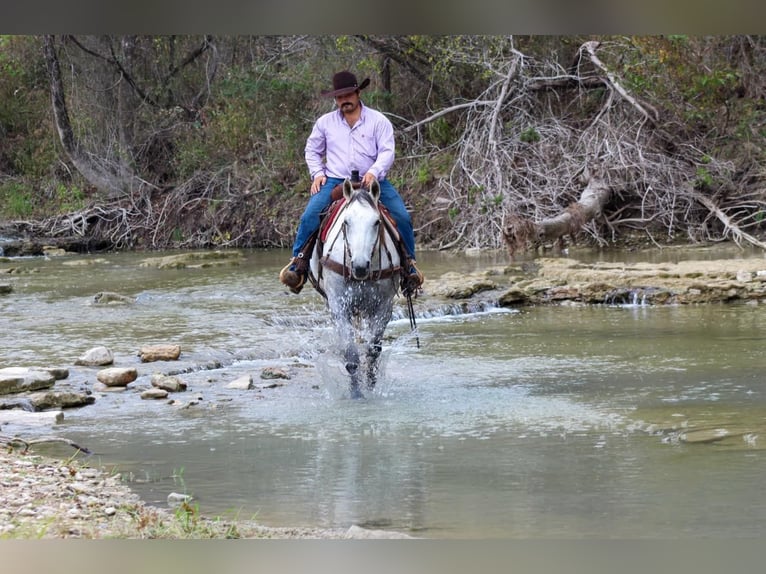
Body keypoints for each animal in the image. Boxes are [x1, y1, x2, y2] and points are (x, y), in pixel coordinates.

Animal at [309, 177, 402, 398]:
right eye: (346, 222)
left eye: (376, 222)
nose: (360, 266)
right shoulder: (339, 305)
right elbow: (350, 353)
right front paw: (356, 393)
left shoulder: (383, 306)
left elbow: (372, 352)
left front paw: (370, 387)